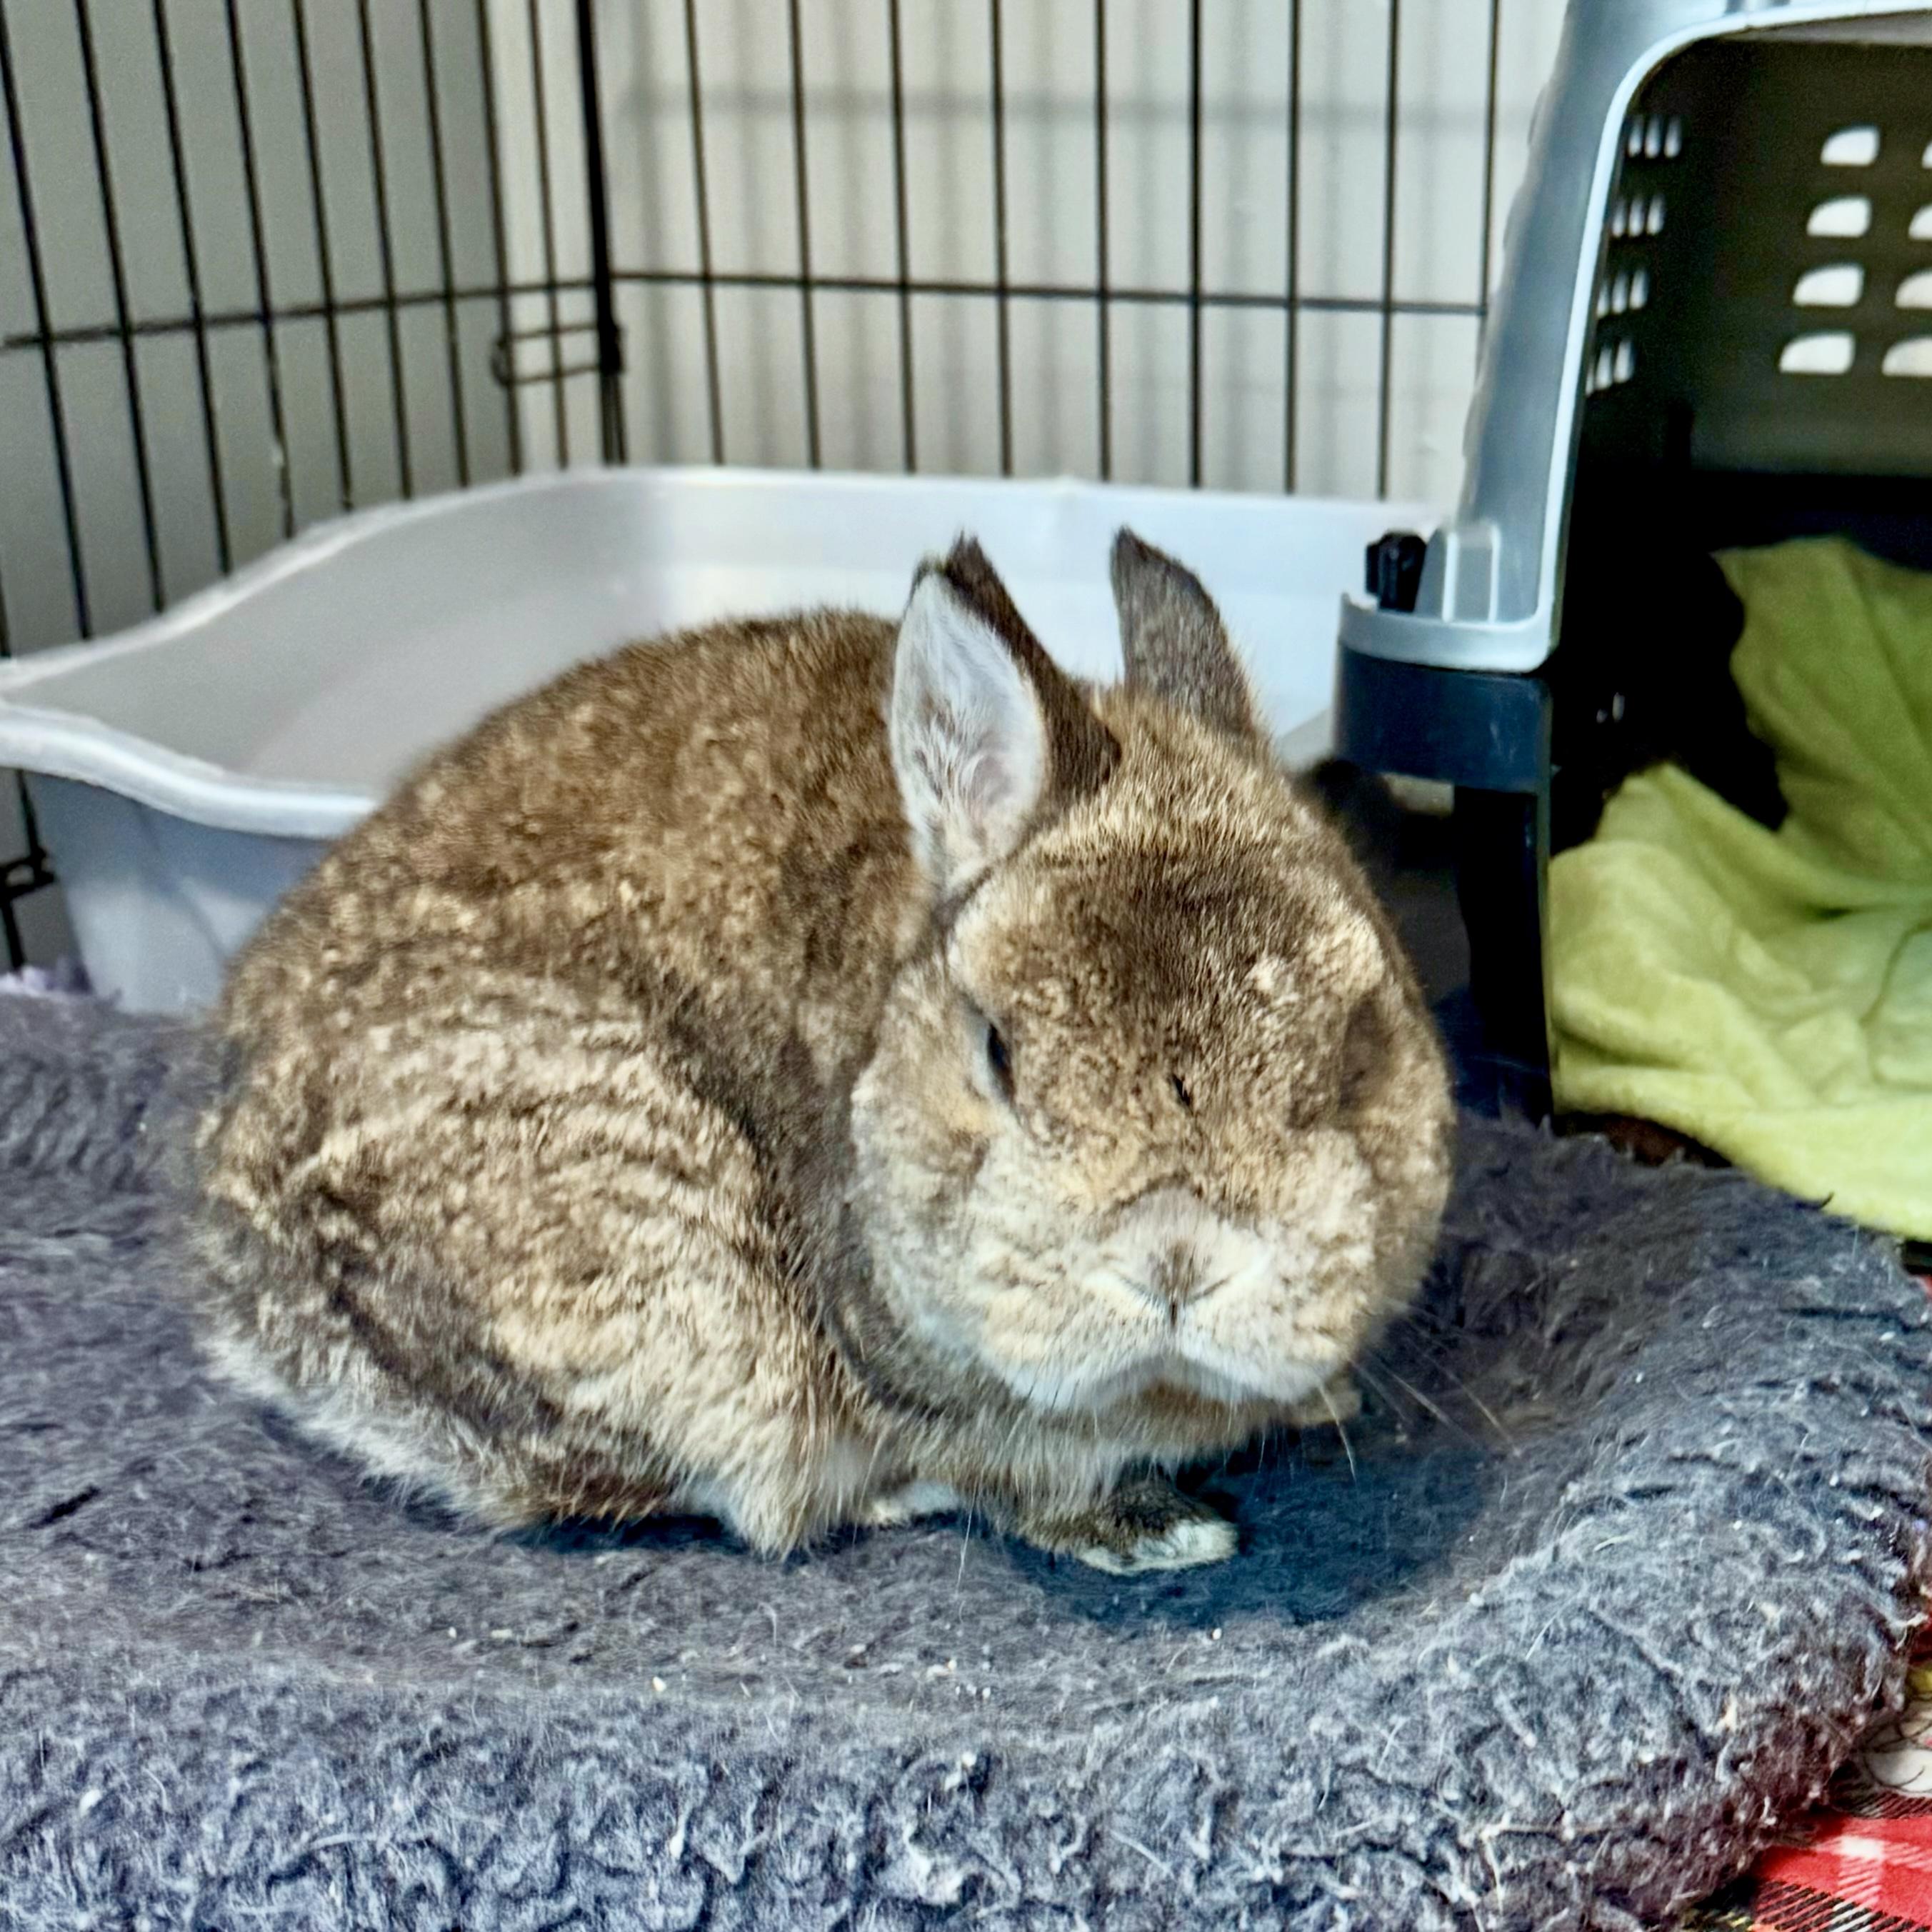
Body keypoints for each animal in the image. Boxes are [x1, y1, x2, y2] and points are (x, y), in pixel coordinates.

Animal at [191, 530, 1454, 1575]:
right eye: (996, 1051)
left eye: (1356, 1052)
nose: (1178, 1260)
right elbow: (1021, 1478)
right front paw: (1161, 1529)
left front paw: (1319, 1405)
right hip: (678, 1298)